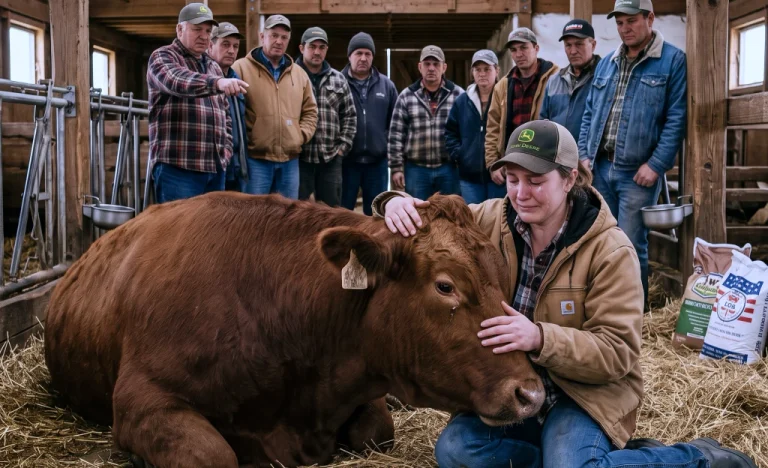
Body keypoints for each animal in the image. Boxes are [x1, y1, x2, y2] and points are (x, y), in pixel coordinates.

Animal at [44, 193, 544, 468]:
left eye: (503, 277)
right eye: (445, 285)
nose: (531, 394)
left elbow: (377, 429)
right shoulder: (141, 399)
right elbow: (212, 454)